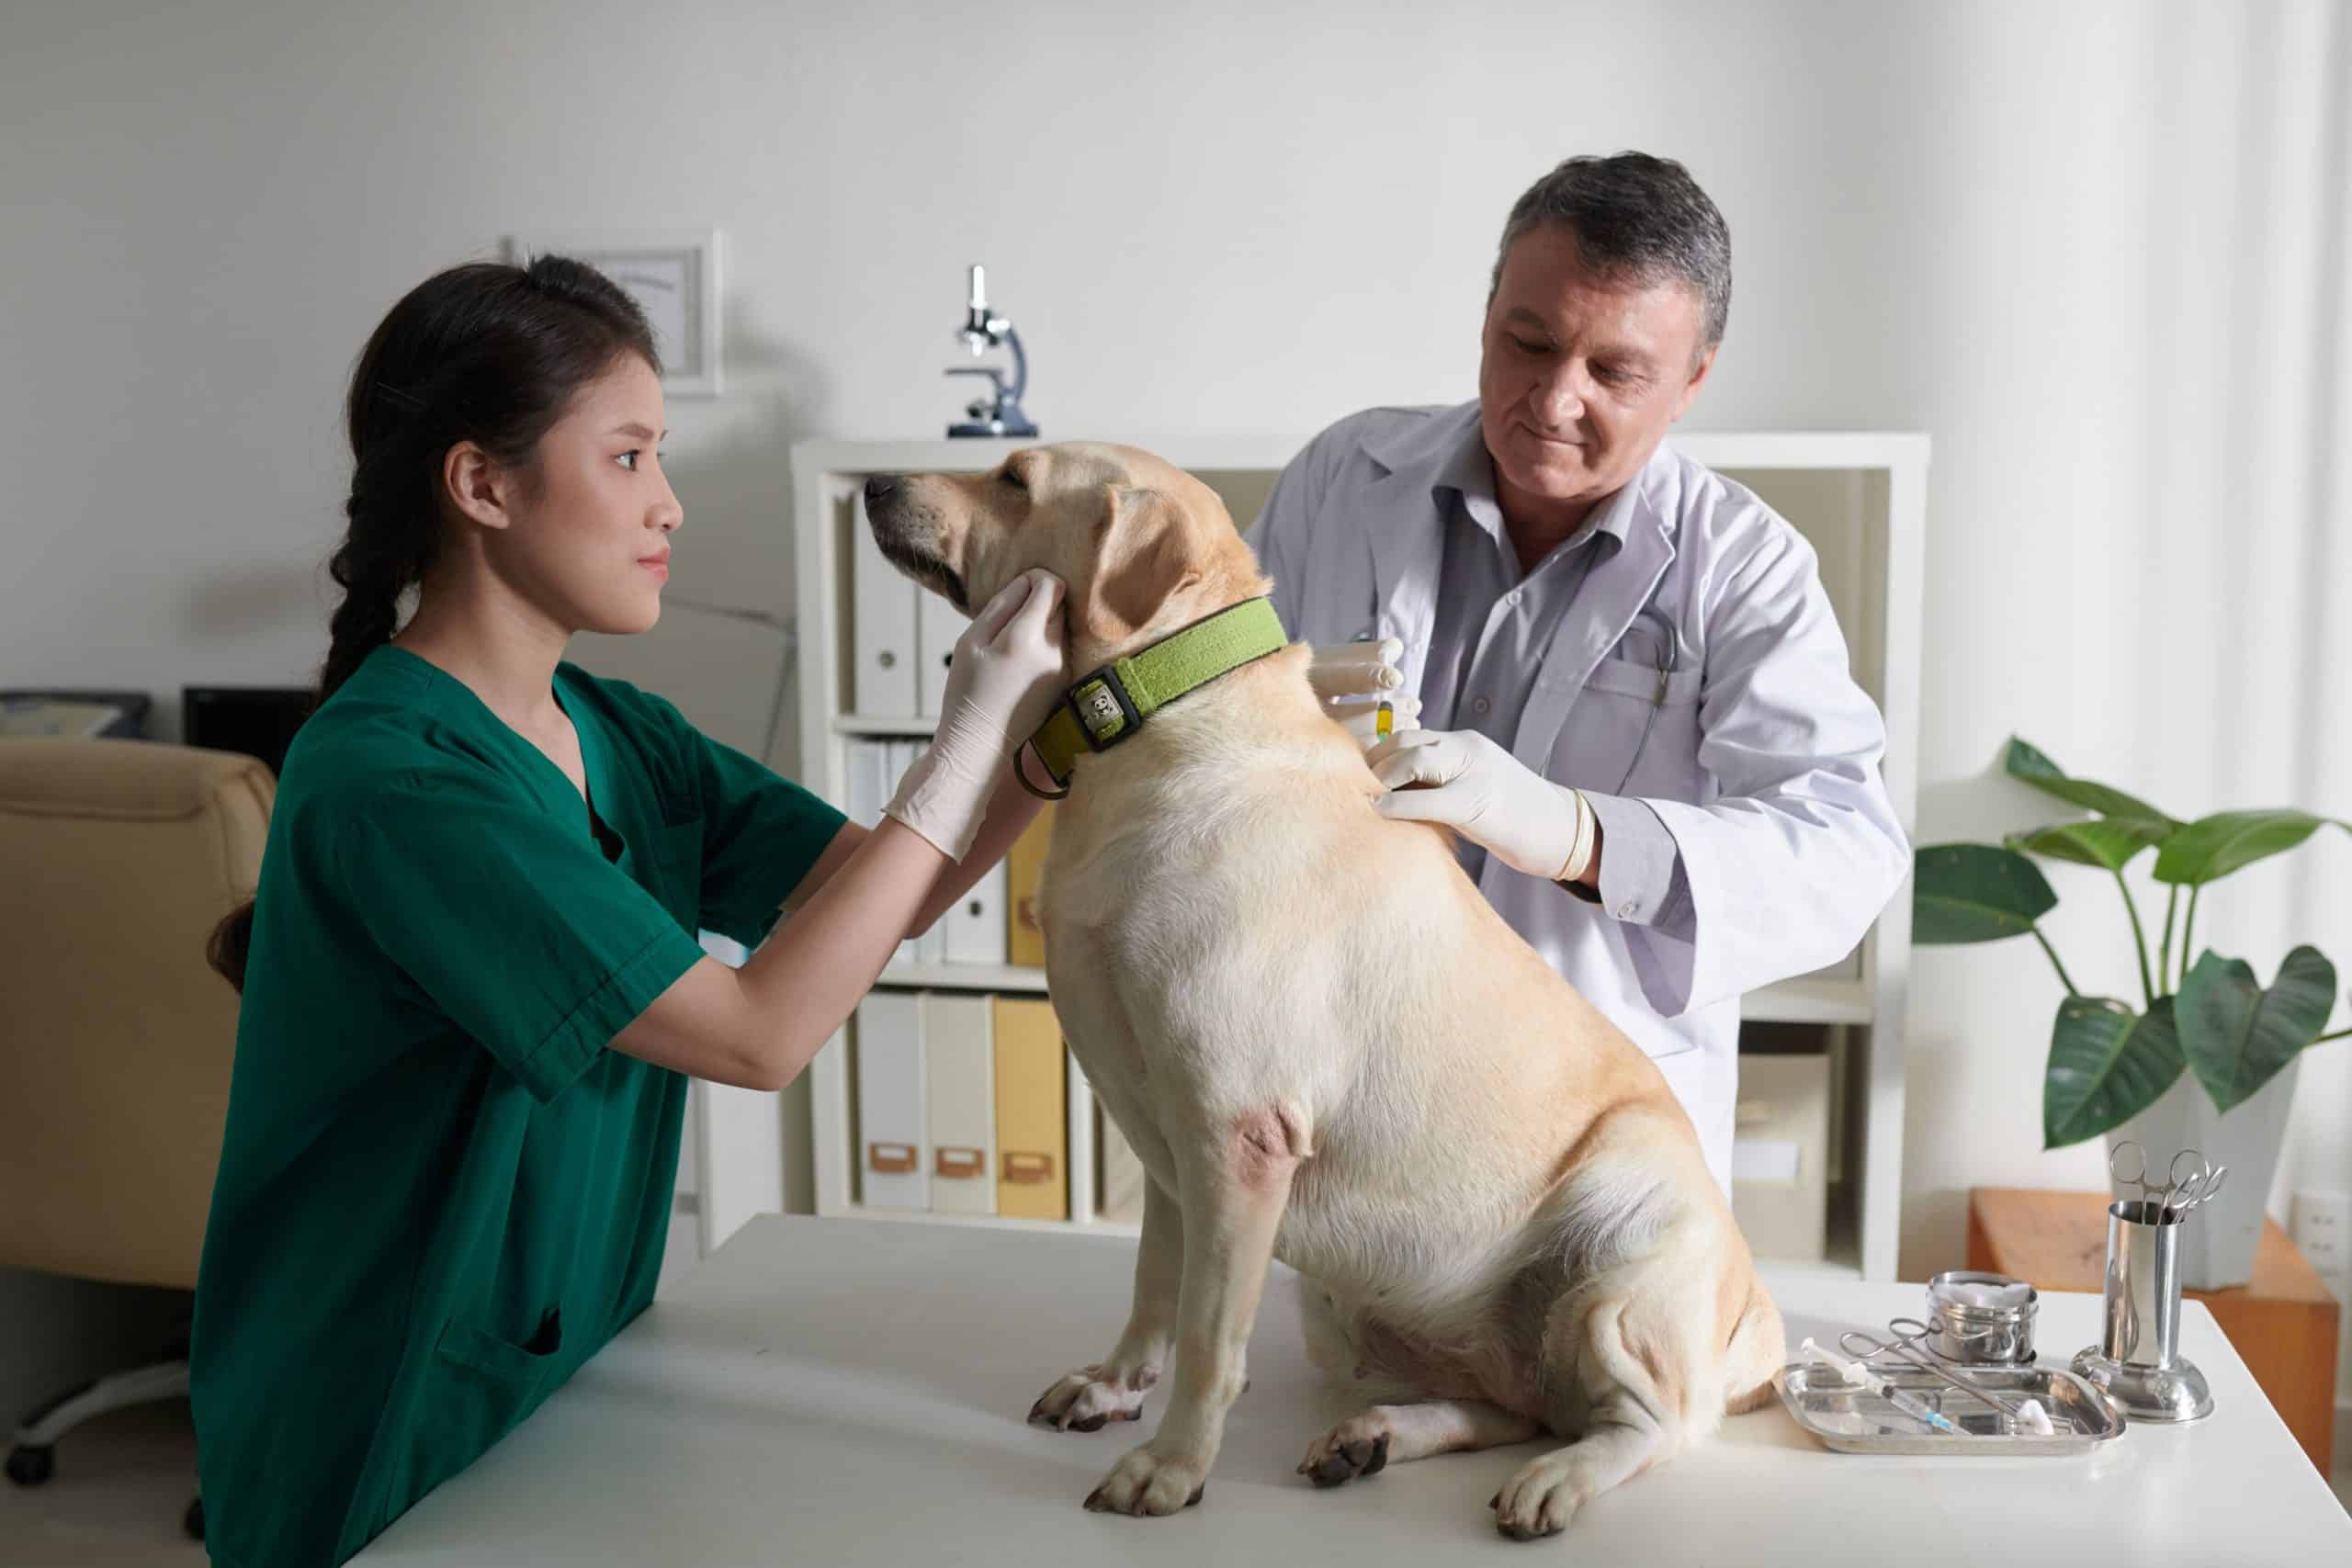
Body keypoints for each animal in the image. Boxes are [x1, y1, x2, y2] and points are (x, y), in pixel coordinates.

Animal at [865, 439, 1778, 1532]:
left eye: (1012, 478)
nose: (871, 484)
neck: (1158, 727)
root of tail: (1755, 1317)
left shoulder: (1237, 1135)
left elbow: (1208, 1335)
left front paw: (1171, 1466)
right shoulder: (1166, 1140)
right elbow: (1152, 1285)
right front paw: (1116, 1385)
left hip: (1622, 1242)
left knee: (1649, 1422)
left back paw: (1555, 1479)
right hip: (1362, 1312)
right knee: (1513, 1401)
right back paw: (1374, 1435)